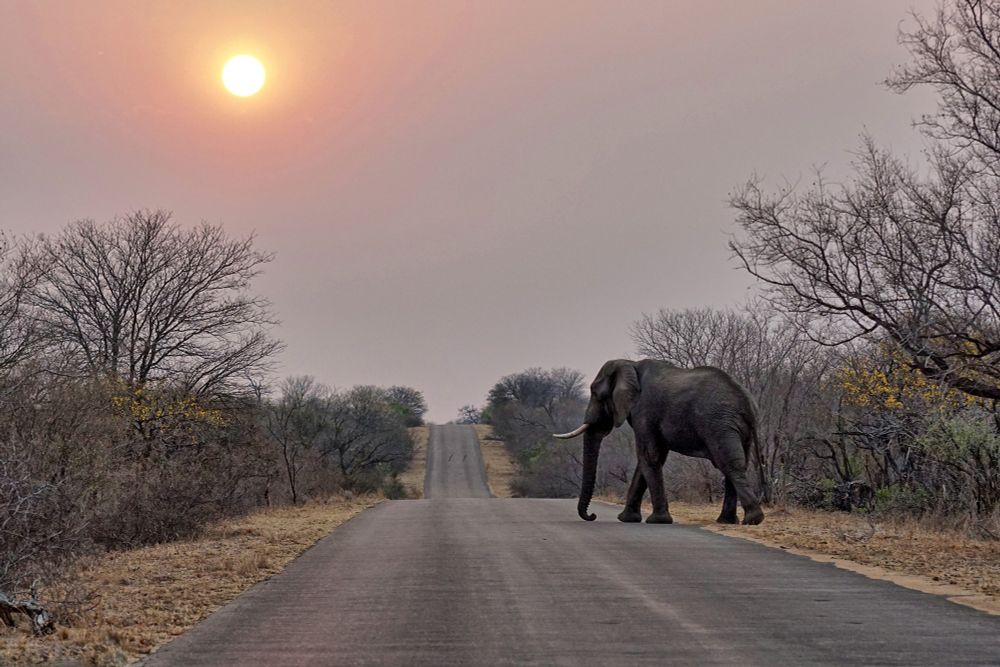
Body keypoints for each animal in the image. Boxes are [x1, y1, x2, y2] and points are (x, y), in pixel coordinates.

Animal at [554, 359, 764, 525]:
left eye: (596, 394)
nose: (592, 516)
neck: (631, 365)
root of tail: (748, 402)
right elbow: (647, 460)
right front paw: (626, 519)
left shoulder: (644, 411)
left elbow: (649, 456)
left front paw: (657, 520)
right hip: (734, 427)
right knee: (737, 464)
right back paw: (727, 521)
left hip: (718, 423)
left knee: (729, 464)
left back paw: (752, 520)